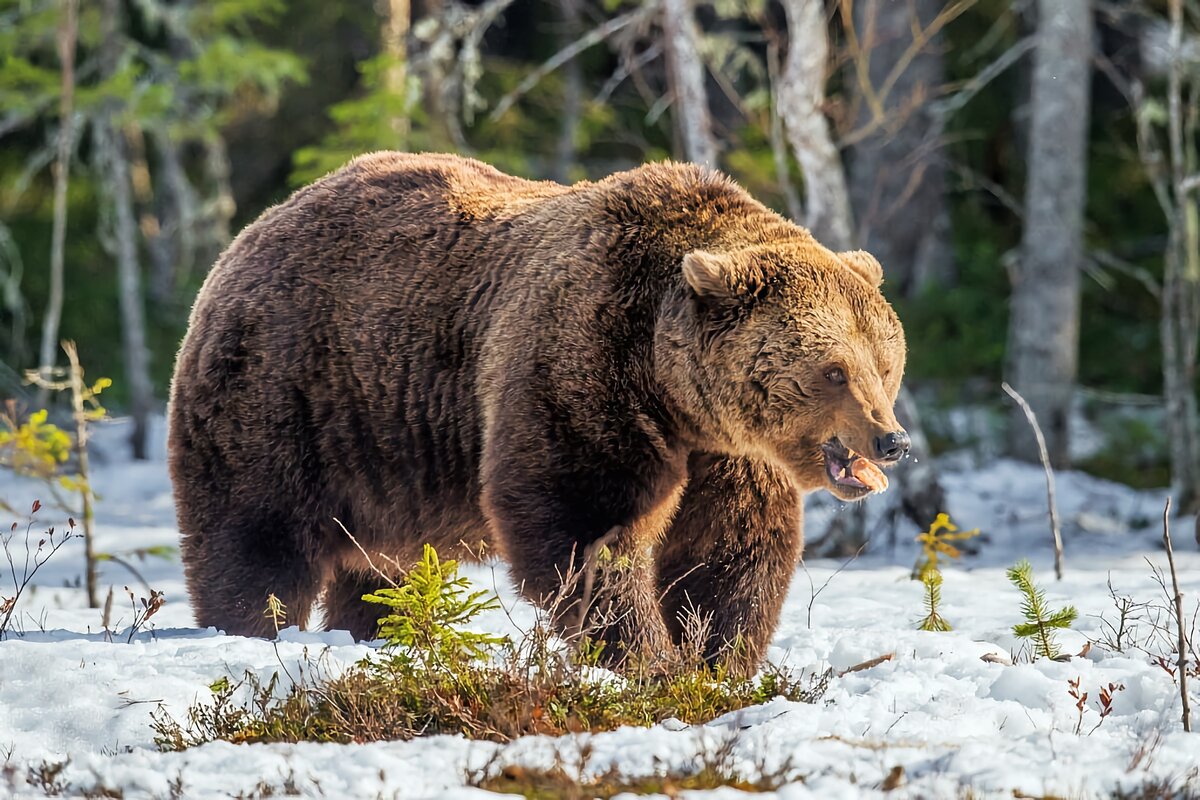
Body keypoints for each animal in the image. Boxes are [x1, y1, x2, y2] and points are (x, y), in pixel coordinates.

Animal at [166, 151, 902, 676]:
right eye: (834, 370)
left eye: (885, 361)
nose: (891, 440)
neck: (674, 388)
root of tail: (249, 235)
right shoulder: (583, 368)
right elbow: (586, 528)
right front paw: (646, 658)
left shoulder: (727, 452)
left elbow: (728, 549)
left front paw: (715, 658)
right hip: (286, 393)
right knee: (256, 535)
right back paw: (253, 629)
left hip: (381, 459)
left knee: (382, 567)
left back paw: (383, 631)